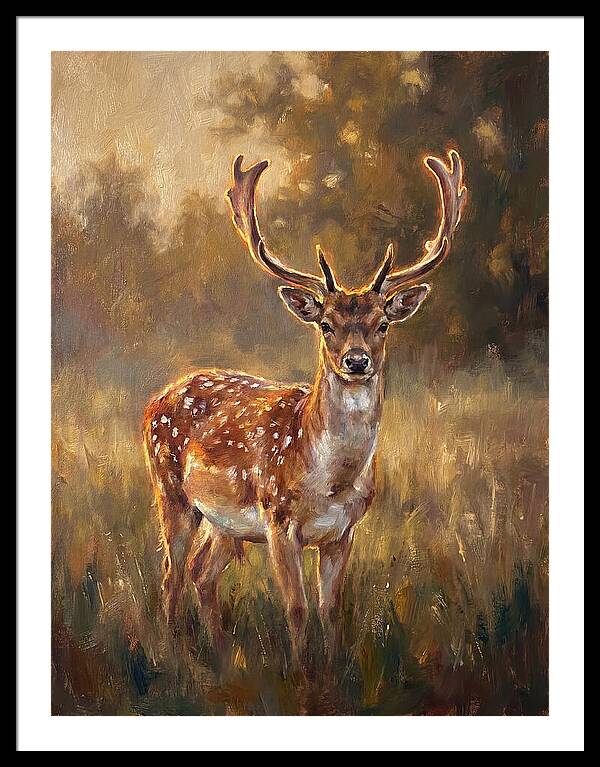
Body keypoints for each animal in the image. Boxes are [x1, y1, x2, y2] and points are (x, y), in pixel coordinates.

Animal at [143, 149, 466, 670]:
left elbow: (330, 609)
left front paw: (331, 672)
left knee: (200, 572)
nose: (356, 361)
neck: (330, 483)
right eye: (326, 324)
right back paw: (174, 654)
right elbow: (295, 608)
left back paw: (221, 655)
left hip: (225, 523)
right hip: (171, 491)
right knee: (171, 572)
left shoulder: (343, 532)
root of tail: (158, 397)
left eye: (382, 324)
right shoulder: (278, 521)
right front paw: (299, 675)